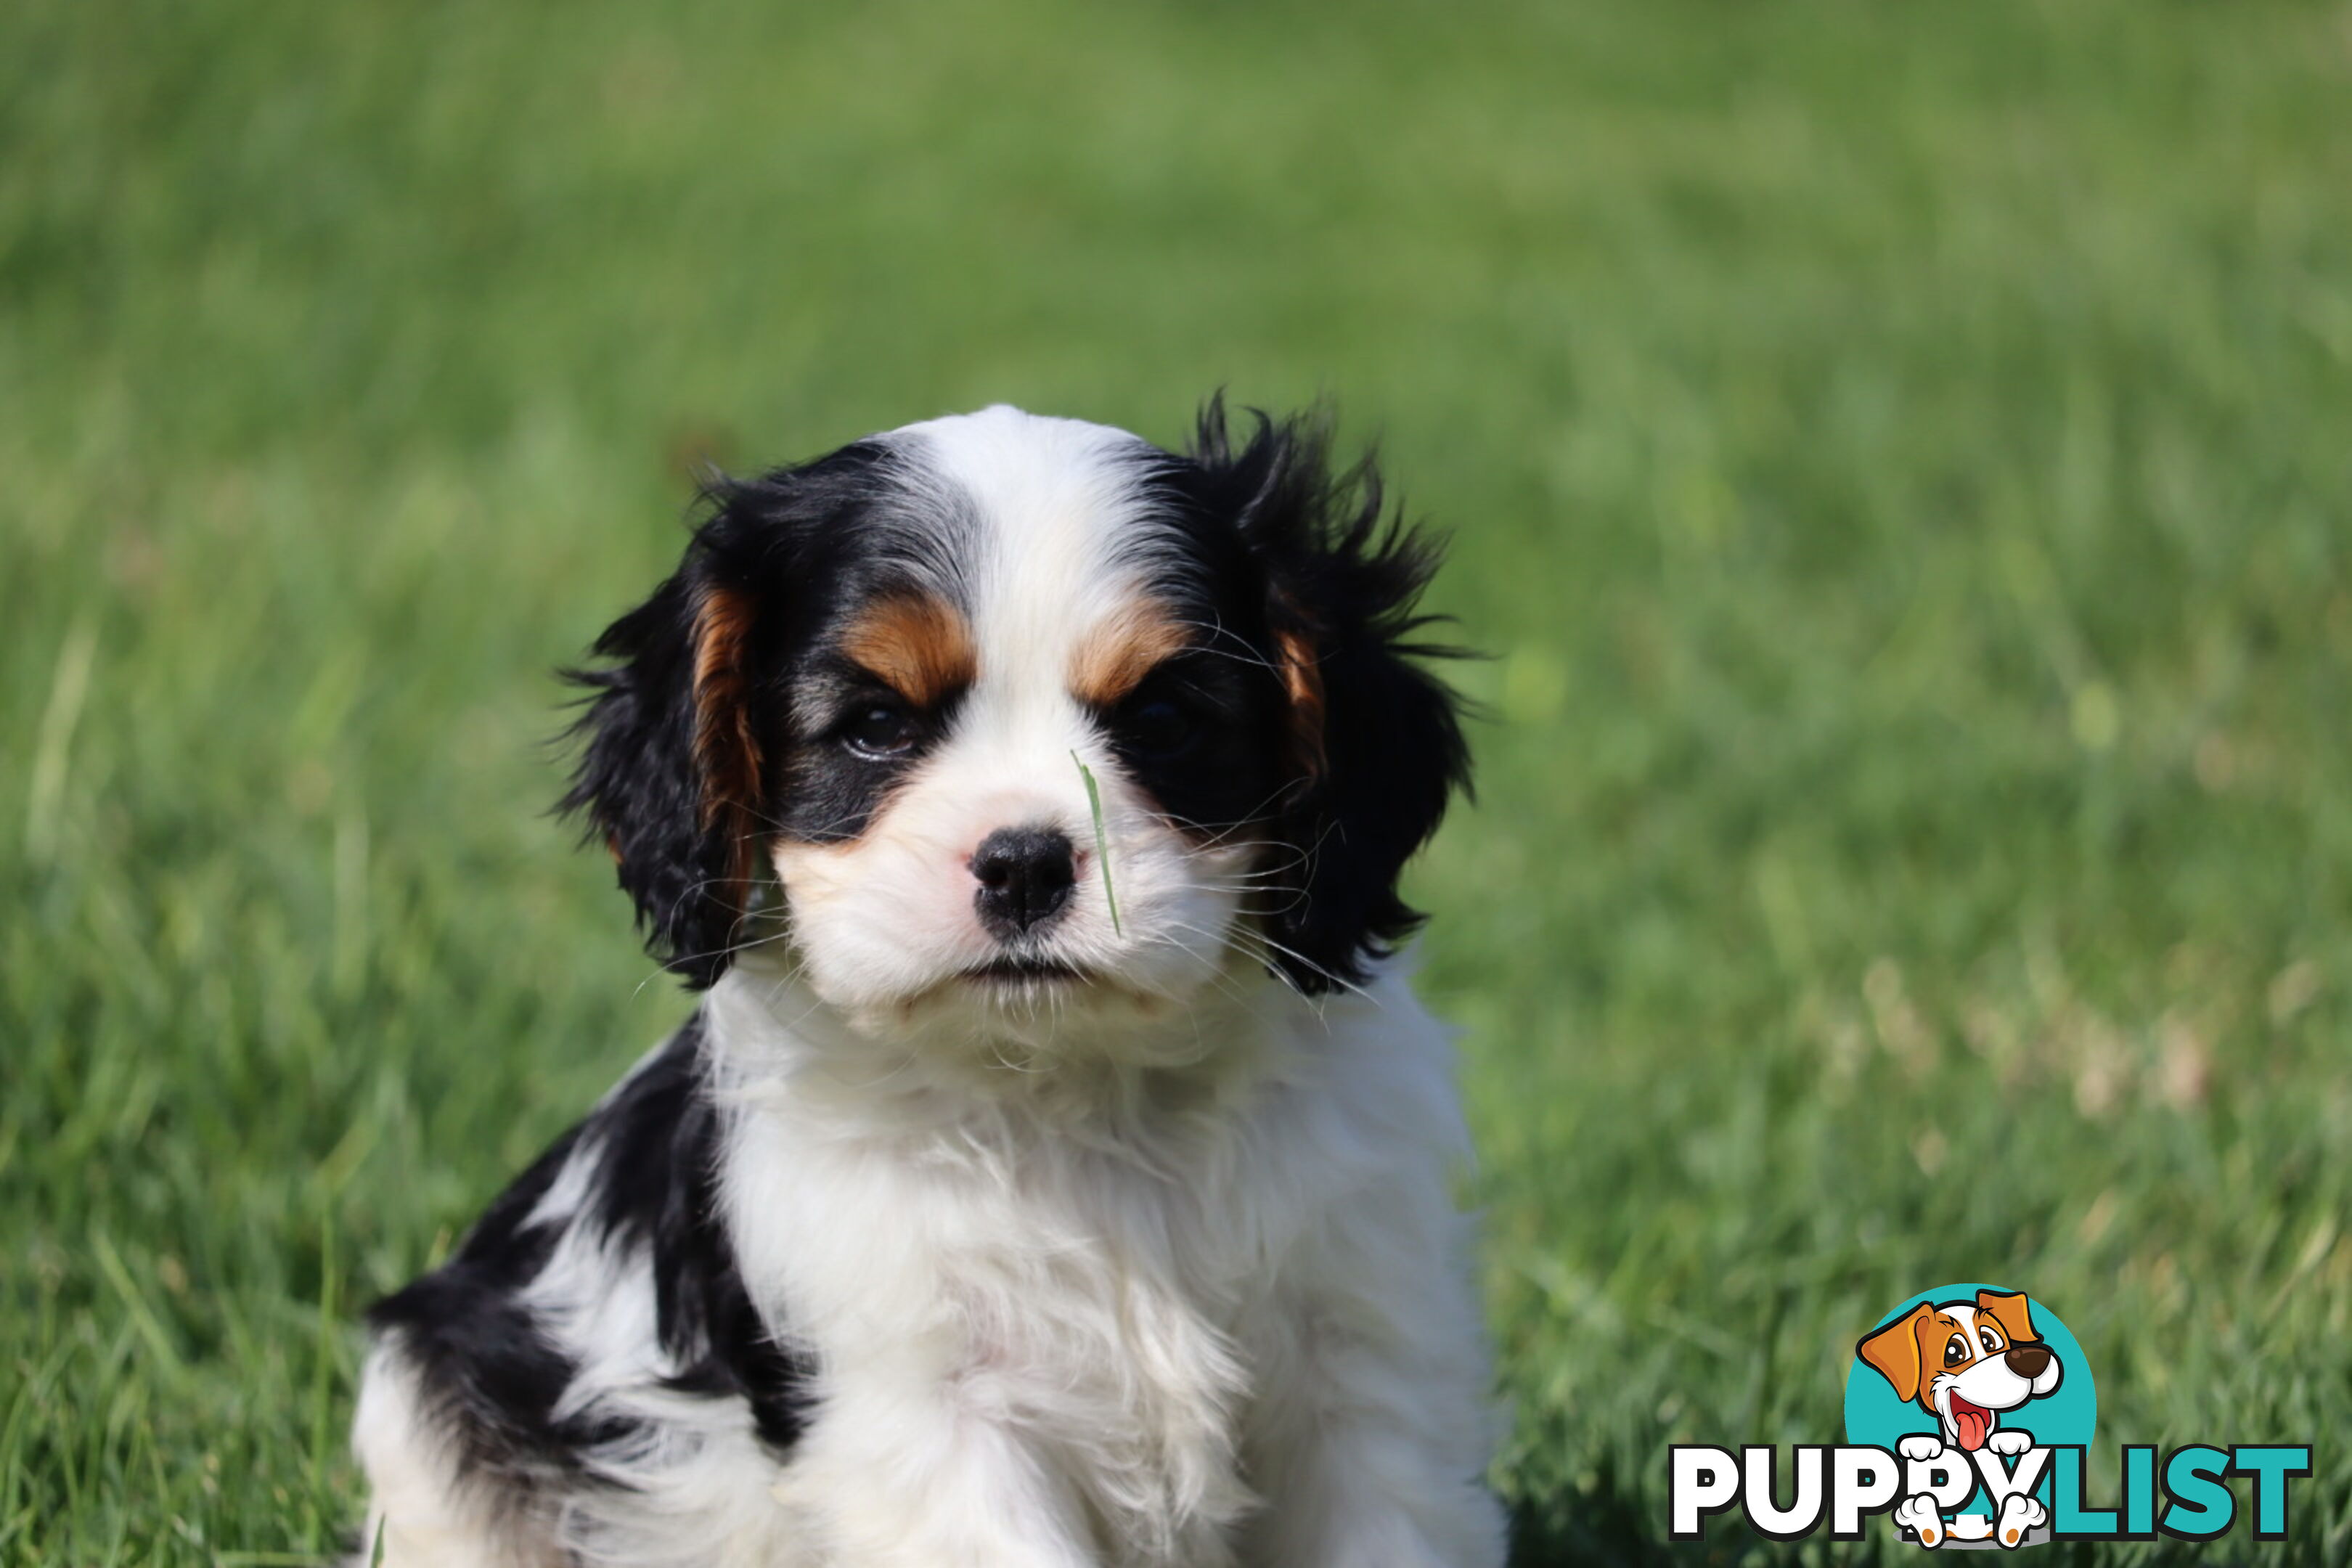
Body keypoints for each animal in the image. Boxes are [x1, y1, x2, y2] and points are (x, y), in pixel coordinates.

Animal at [348, 404, 1505, 1568]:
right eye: (874, 726)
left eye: (1163, 721)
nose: (1025, 862)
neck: (1070, 1092)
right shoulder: (926, 1415)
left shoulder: (1366, 1353)